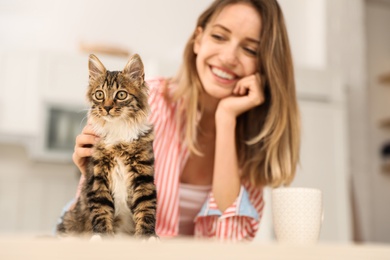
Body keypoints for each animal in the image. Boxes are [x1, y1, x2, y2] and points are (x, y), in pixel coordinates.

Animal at [56, 53, 157, 239]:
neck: (117, 131)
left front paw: (148, 238)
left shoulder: (143, 176)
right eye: (99, 94)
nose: (108, 107)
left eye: (121, 94)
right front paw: (101, 238)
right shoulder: (98, 178)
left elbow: (146, 209)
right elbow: (101, 212)